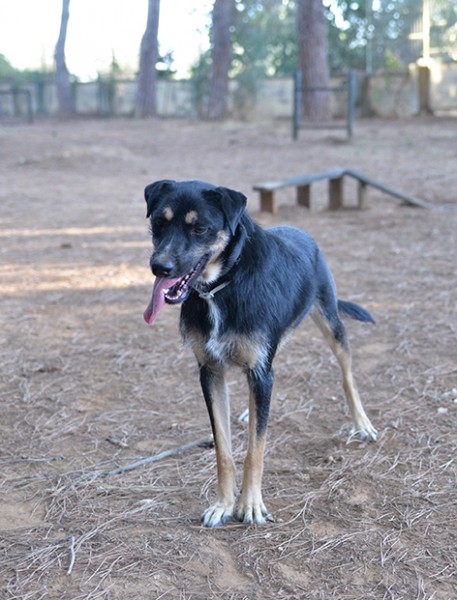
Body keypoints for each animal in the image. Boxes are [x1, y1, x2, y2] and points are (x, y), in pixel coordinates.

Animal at [143, 180, 378, 528]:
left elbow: (256, 449)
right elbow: (224, 449)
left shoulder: (259, 371)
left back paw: (362, 423)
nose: (160, 267)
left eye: (199, 228)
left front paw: (250, 504)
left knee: (347, 374)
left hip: (330, 322)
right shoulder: (210, 372)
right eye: (159, 222)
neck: (222, 286)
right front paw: (224, 504)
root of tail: (301, 231)